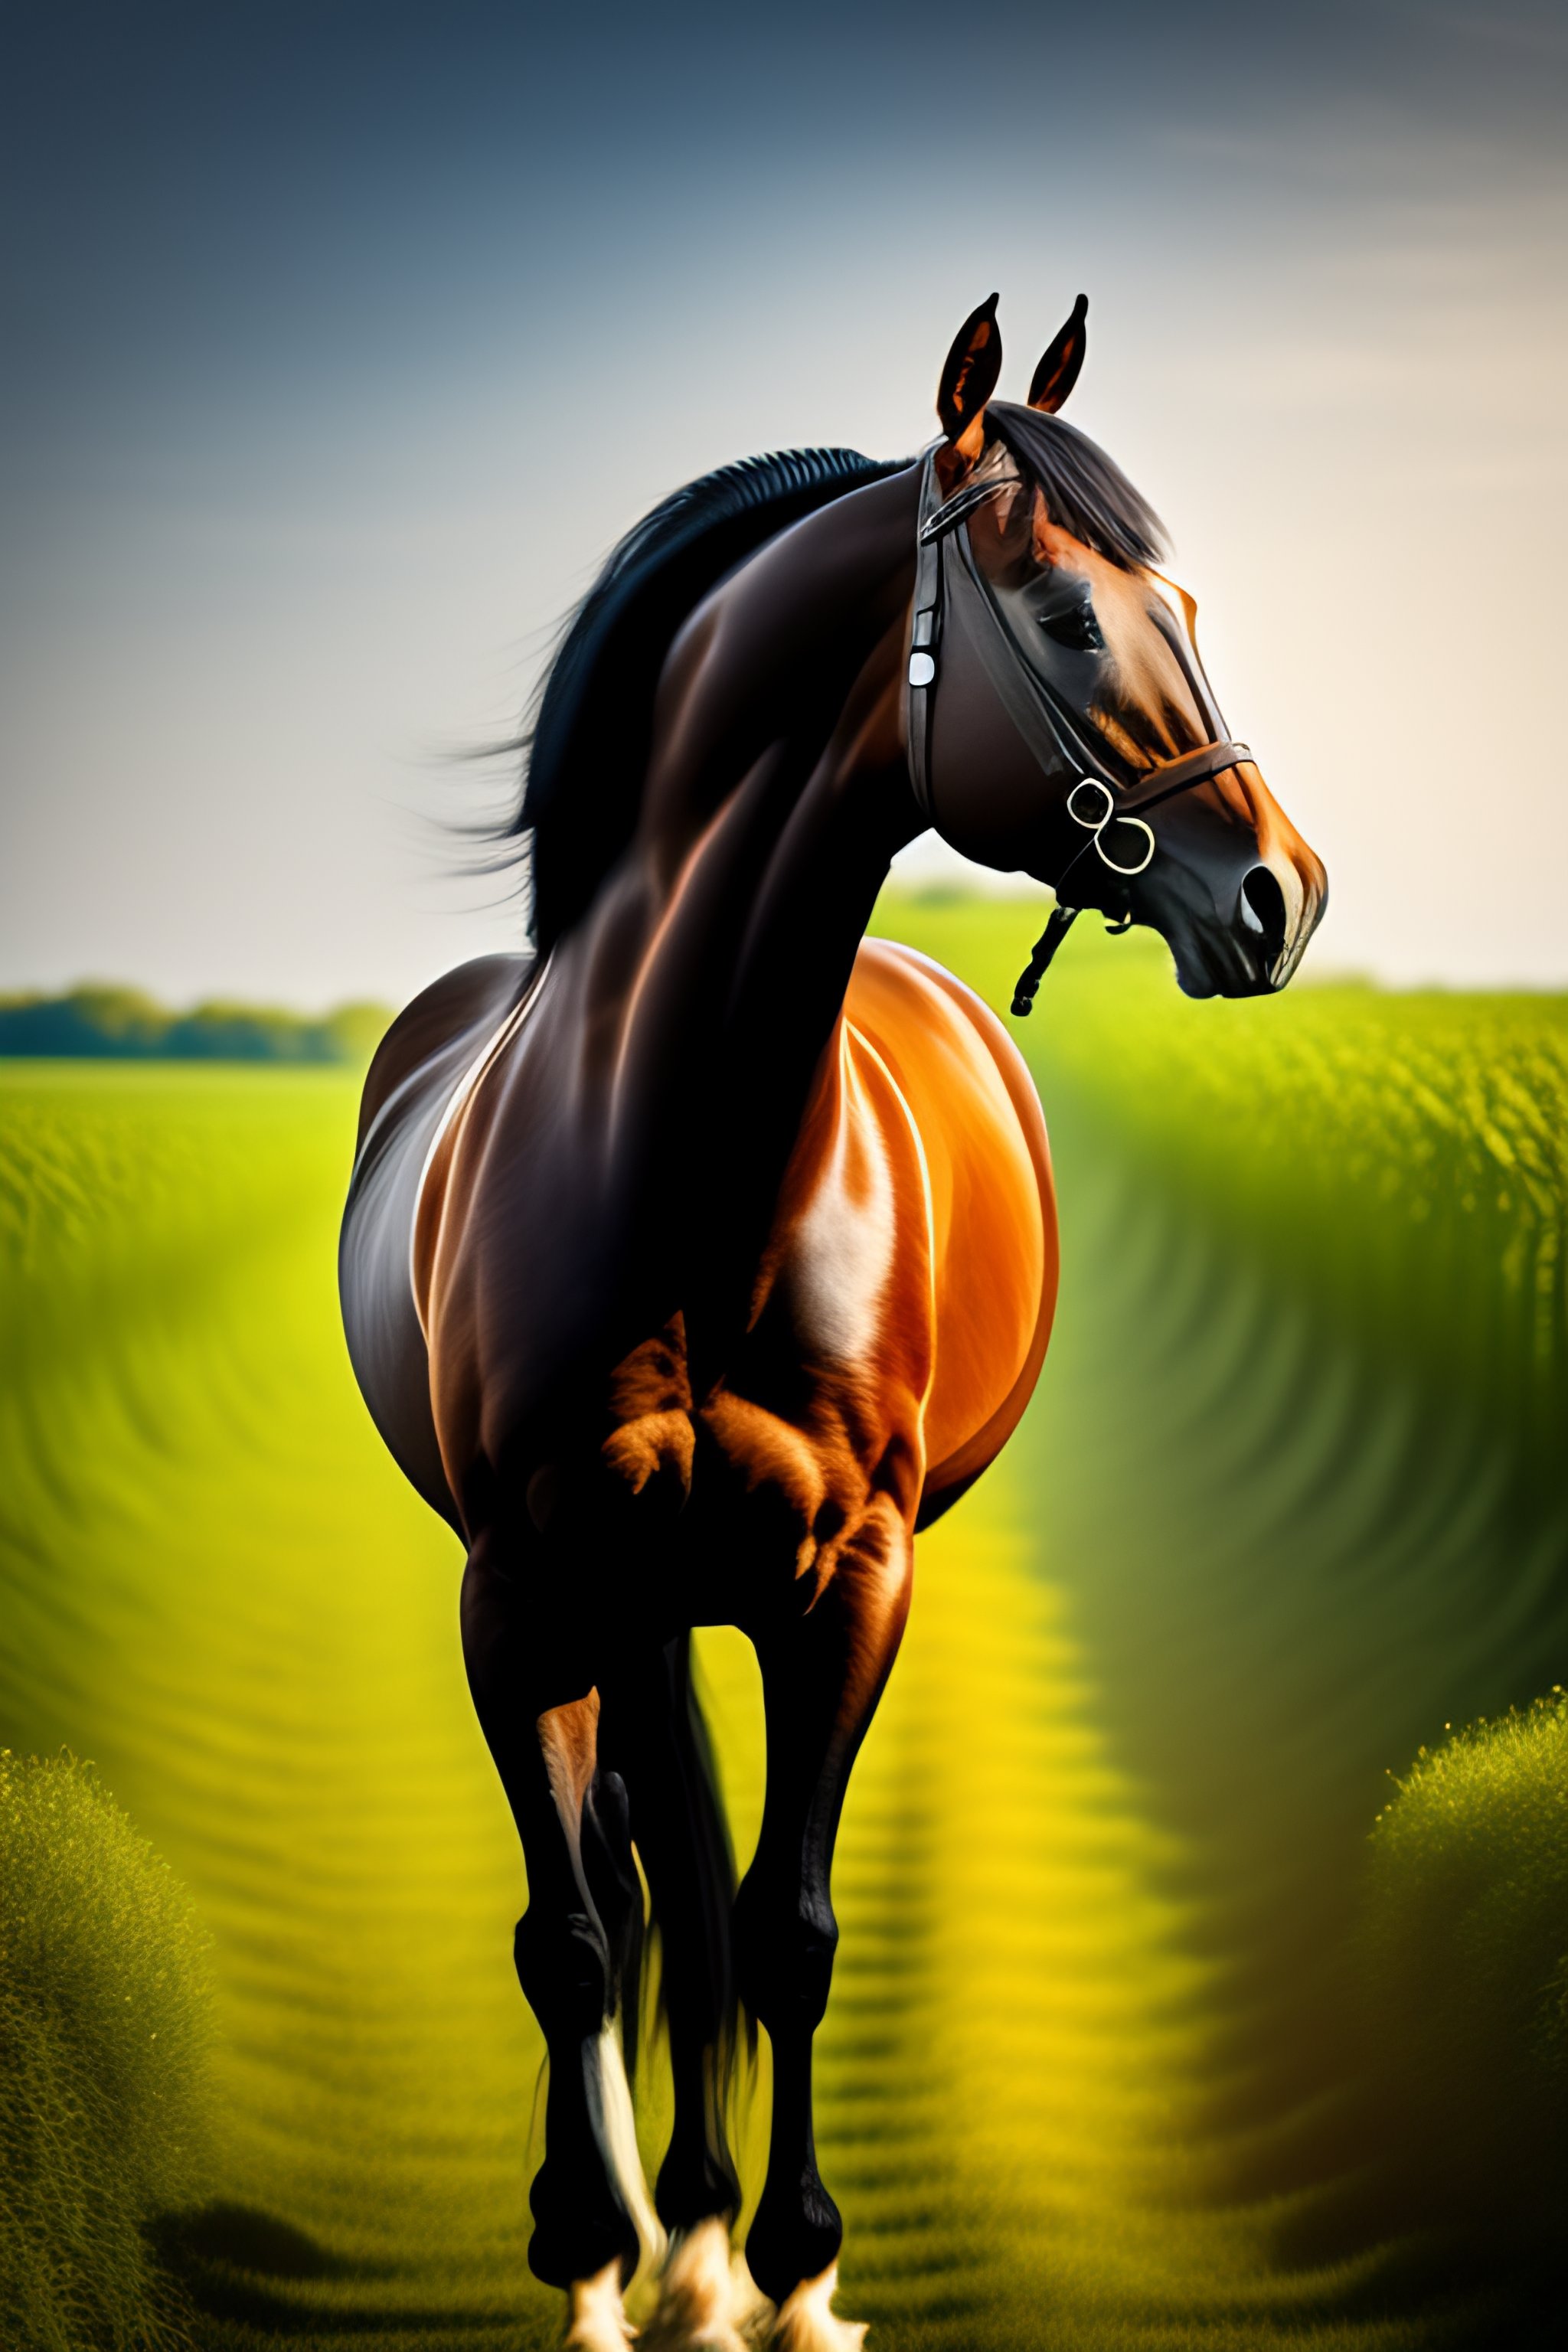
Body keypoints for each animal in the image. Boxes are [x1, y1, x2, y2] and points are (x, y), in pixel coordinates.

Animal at [339, 292, 1327, 2352]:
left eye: (1185, 604)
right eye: (1069, 618)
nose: (1281, 894)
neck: (673, 1160)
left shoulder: (847, 1579)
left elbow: (787, 1928)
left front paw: (791, 2269)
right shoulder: (516, 1590)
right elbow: (575, 1936)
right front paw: (592, 2257)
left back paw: (712, 2234)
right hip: (612, 1594)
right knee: (637, 1892)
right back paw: (650, 2227)